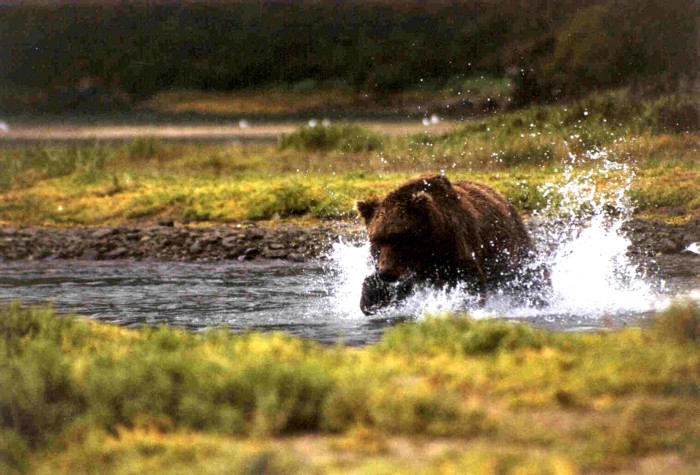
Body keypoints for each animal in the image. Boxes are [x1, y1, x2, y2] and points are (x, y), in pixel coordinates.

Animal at [356, 173, 548, 314]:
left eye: (400, 237)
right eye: (377, 239)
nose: (386, 271)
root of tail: (504, 199)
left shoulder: (455, 245)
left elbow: (470, 281)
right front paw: (370, 300)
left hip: (511, 247)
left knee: (530, 275)